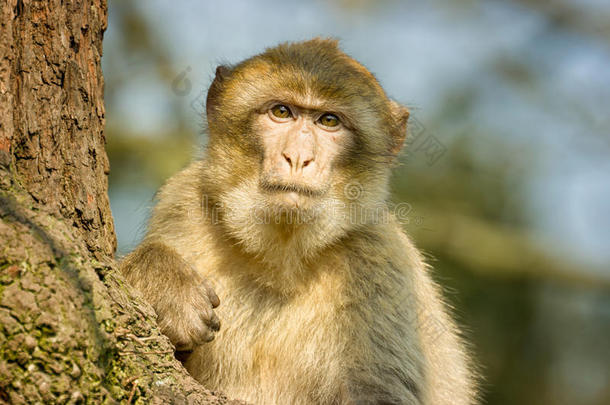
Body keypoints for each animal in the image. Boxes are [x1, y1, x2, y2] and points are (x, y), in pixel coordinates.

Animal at [119, 38, 476, 404]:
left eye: (329, 120)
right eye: (281, 112)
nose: (298, 158)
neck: (281, 257)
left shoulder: (382, 258)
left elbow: (381, 393)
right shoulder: (184, 203)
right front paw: (162, 280)